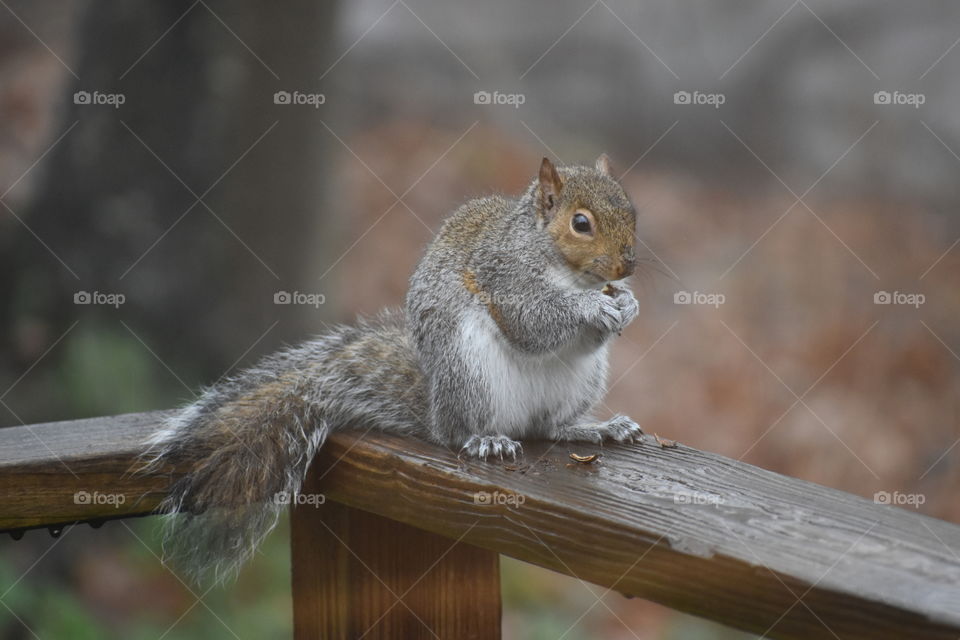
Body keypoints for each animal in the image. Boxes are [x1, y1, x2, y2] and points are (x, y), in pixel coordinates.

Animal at [142, 154, 644, 580]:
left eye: (631, 210)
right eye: (581, 223)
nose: (628, 265)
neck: (565, 268)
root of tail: (436, 411)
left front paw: (627, 303)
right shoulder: (504, 276)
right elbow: (532, 323)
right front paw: (591, 307)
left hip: (580, 382)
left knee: (549, 426)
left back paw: (593, 429)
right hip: (468, 371)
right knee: (461, 433)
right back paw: (485, 439)